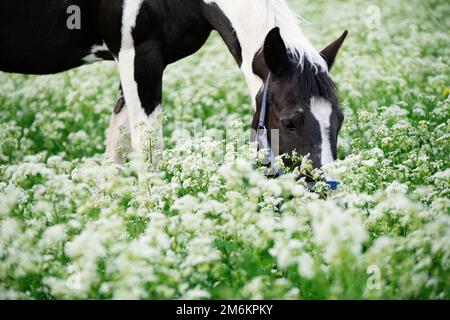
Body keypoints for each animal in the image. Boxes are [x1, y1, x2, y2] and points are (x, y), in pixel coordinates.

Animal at [0, 0, 348, 170]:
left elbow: (116, 151)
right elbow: (147, 152)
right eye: (289, 122)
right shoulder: (139, 57)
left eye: (340, 119)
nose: (322, 192)